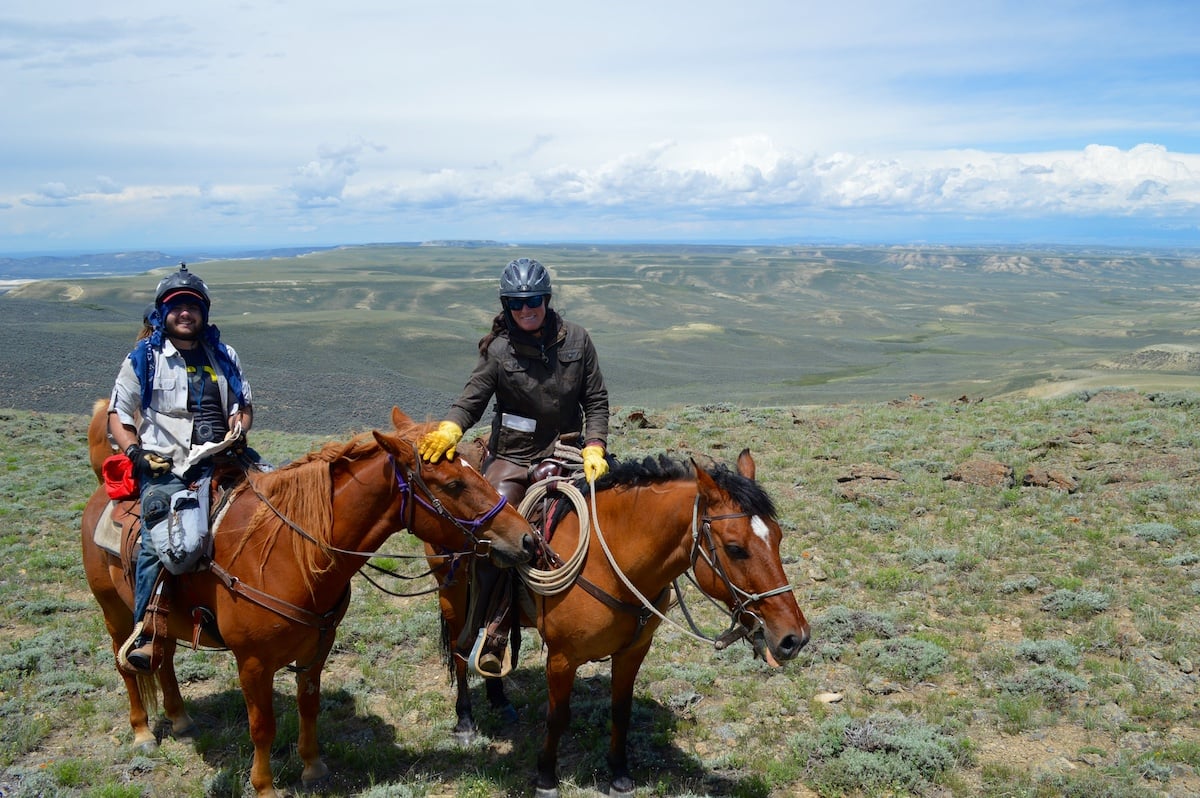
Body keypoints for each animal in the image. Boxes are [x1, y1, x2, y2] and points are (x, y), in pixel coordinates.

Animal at [79, 408, 535, 792]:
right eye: (454, 484)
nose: (528, 539)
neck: (291, 552)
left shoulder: (318, 647)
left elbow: (309, 704)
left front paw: (313, 767)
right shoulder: (253, 663)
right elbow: (262, 727)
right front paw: (265, 787)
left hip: (165, 621)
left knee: (165, 660)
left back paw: (180, 718)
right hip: (113, 610)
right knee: (126, 667)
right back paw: (142, 732)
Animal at [427, 451, 811, 792]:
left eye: (778, 537)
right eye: (735, 548)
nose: (794, 638)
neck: (607, 561)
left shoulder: (634, 650)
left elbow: (621, 710)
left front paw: (620, 774)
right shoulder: (562, 658)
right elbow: (557, 716)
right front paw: (546, 778)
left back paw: (498, 698)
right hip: (453, 597)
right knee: (459, 652)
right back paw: (465, 721)